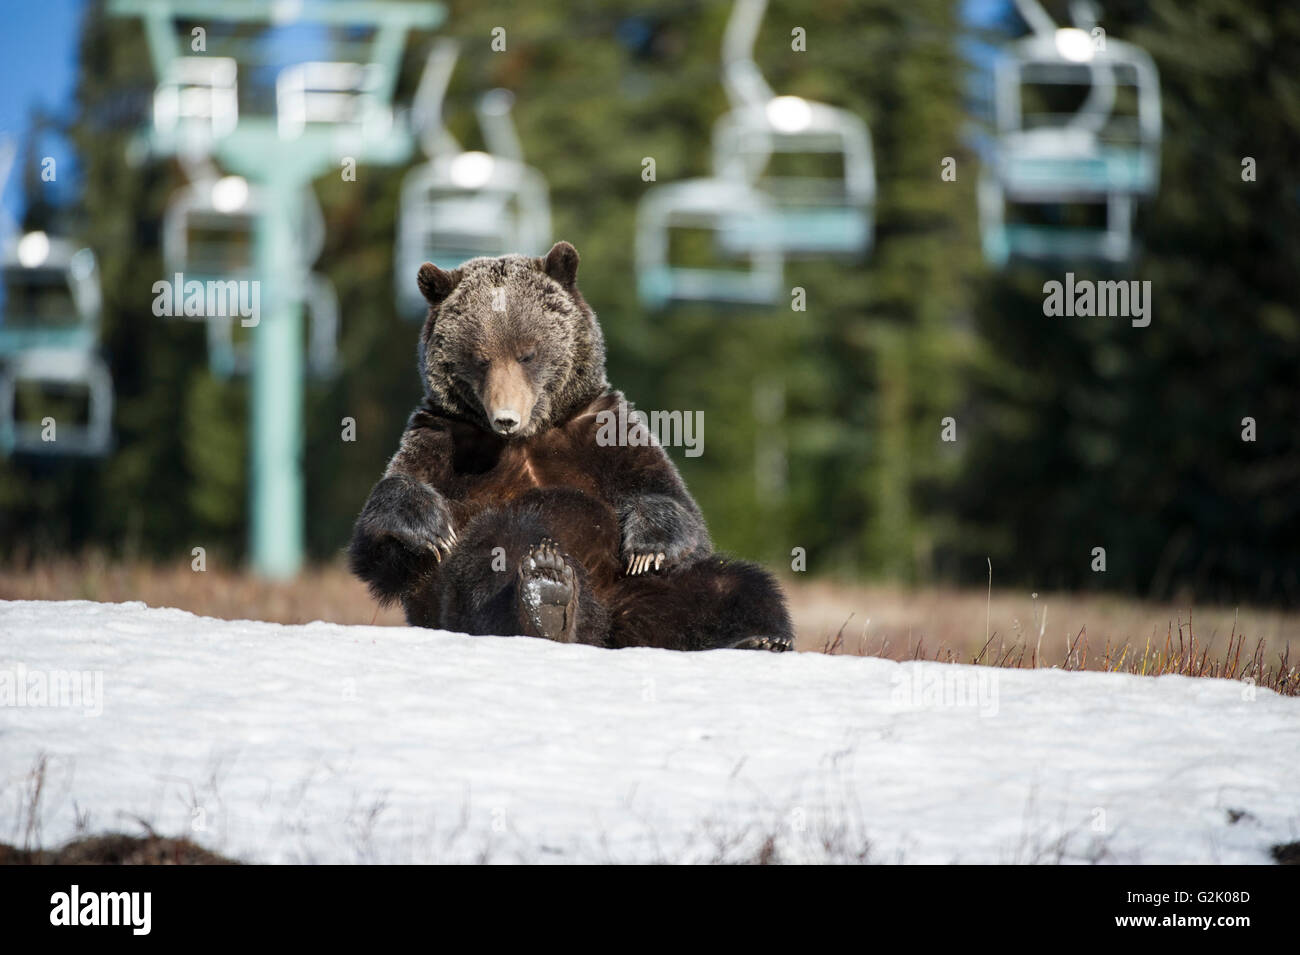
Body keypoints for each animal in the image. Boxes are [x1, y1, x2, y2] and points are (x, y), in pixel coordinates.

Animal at [348, 242, 790, 654]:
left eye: (527, 353)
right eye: (480, 358)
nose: (506, 417)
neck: (527, 438)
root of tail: (608, 630)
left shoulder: (600, 431)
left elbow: (674, 507)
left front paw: (648, 546)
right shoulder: (443, 439)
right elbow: (381, 550)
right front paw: (429, 527)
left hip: (645, 590)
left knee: (731, 585)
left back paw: (760, 639)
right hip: (460, 590)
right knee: (499, 546)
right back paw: (546, 595)